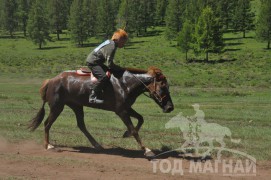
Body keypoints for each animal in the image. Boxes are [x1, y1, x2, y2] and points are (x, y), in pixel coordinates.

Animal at [28, 66, 175, 158]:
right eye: (163, 87)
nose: (170, 107)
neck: (125, 84)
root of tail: (51, 80)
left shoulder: (127, 108)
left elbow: (141, 119)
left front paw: (126, 134)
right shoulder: (121, 111)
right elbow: (134, 129)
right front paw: (147, 150)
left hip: (76, 106)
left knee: (81, 125)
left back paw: (97, 145)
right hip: (57, 107)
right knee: (47, 124)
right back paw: (48, 146)